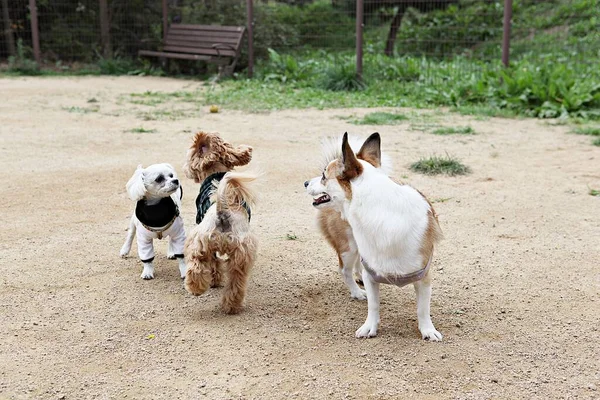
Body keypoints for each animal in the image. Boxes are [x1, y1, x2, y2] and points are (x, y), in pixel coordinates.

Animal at [183, 133, 258, 314]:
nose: (185, 169)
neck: (215, 173)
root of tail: (224, 210)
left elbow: (214, 265)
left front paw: (215, 281)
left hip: (200, 241)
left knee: (196, 265)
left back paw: (195, 288)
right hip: (239, 256)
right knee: (236, 283)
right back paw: (230, 306)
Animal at [308, 133, 442, 340]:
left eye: (323, 176)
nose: (305, 183)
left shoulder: (424, 277)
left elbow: (423, 308)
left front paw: (427, 330)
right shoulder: (371, 274)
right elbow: (373, 305)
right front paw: (369, 327)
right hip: (348, 248)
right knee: (344, 270)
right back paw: (356, 292)